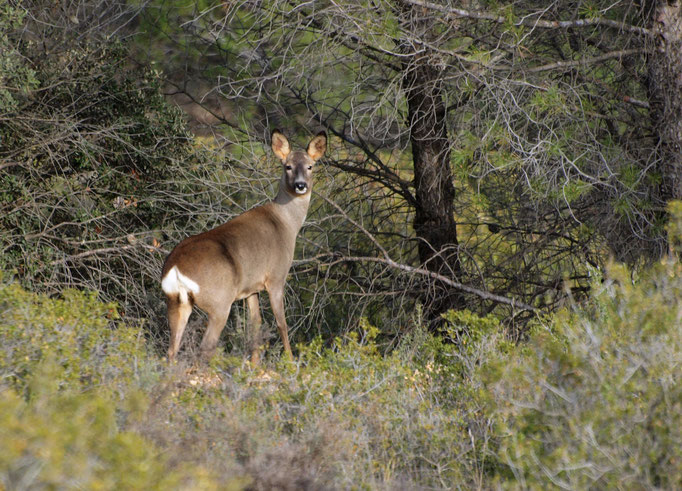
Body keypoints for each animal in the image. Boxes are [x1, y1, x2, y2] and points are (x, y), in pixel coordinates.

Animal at [162, 130, 326, 362]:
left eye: (310, 166)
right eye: (288, 166)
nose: (300, 185)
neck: (286, 223)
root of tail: (175, 269)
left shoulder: (251, 288)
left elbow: (255, 325)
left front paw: (255, 365)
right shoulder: (276, 277)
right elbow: (281, 324)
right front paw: (290, 362)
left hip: (176, 302)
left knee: (171, 351)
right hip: (219, 303)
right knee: (205, 348)